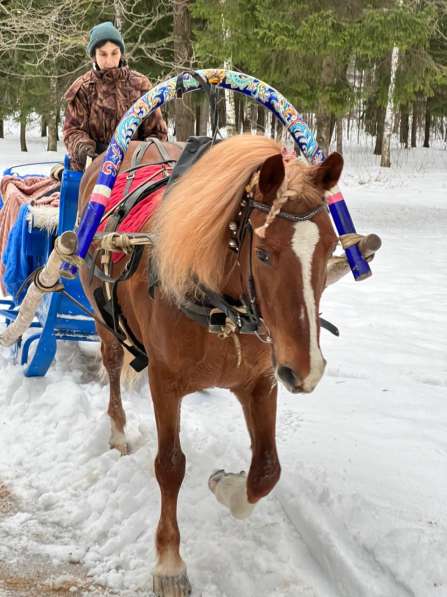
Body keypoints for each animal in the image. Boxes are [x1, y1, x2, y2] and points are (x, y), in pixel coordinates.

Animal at [79, 135, 344, 596]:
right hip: (104, 320)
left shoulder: (261, 381)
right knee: (112, 365)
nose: (305, 369)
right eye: (264, 253)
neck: (222, 308)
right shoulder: (165, 382)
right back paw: (118, 431)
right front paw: (169, 564)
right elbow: (170, 467)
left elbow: (267, 470)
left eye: (329, 247)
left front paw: (226, 486)